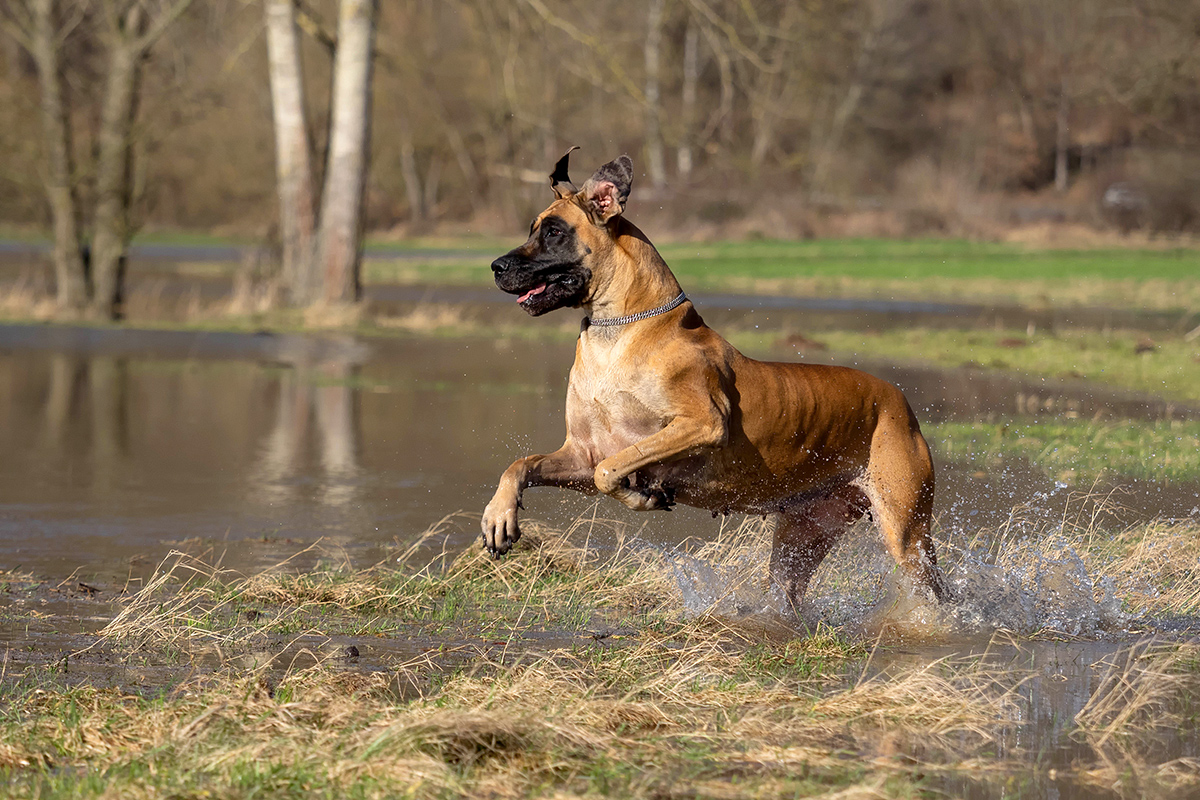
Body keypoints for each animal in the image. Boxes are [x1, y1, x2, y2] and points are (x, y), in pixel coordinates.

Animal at [477, 149, 945, 609]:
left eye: (555, 232)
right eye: (533, 229)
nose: (496, 266)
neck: (618, 332)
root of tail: (900, 402)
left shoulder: (702, 424)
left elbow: (611, 471)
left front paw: (644, 494)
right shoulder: (580, 454)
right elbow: (524, 464)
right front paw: (499, 514)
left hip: (907, 534)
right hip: (804, 533)